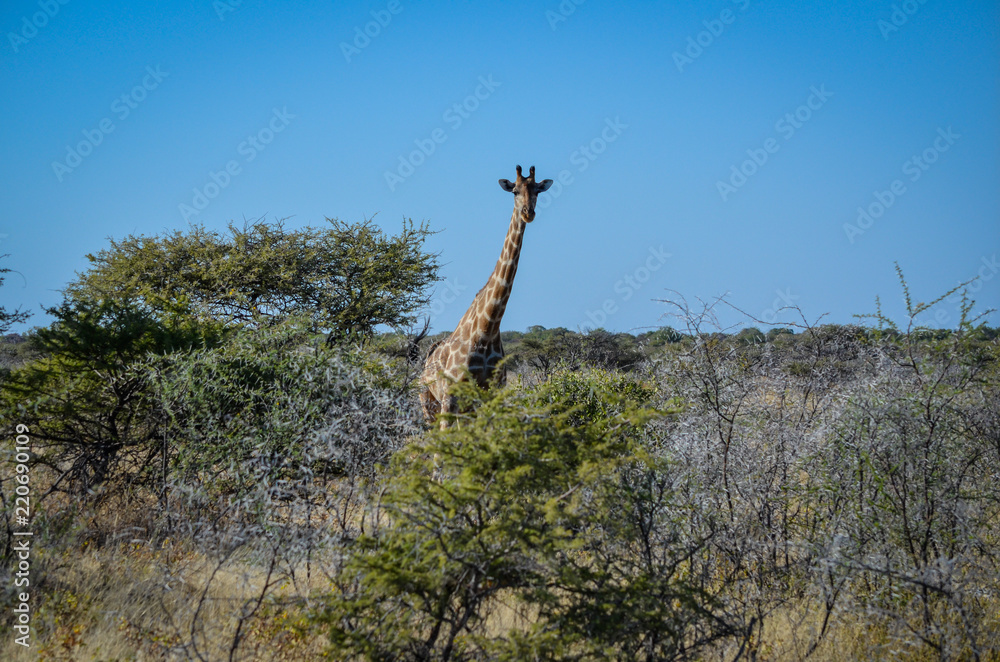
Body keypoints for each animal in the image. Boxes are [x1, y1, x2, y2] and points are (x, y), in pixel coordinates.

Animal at [420, 165, 553, 428]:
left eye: (537, 190)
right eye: (514, 190)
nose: (528, 213)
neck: (488, 326)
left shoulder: (491, 392)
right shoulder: (451, 396)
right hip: (429, 405)